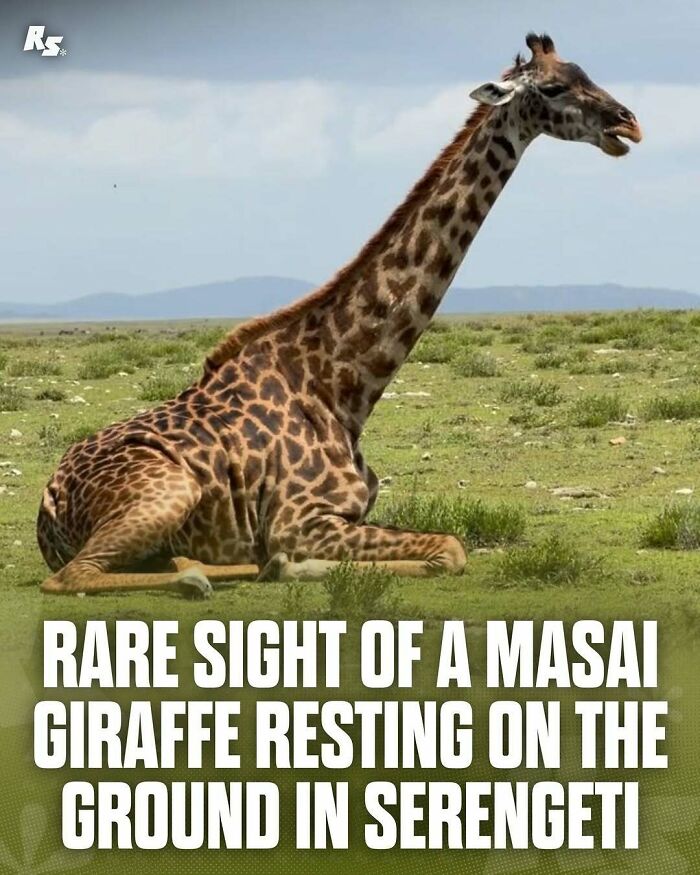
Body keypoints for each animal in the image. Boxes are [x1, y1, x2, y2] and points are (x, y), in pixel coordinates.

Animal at [37, 33, 641, 597]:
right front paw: (288, 564)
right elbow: (450, 548)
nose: (629, 124)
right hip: (170, 492)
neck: (344, 386)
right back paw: (210, 576)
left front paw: (279, 565)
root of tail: (50, 504)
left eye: (585, 72)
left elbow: (441, 545)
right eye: (553, 88)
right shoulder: (302, 519)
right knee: (71, 576)